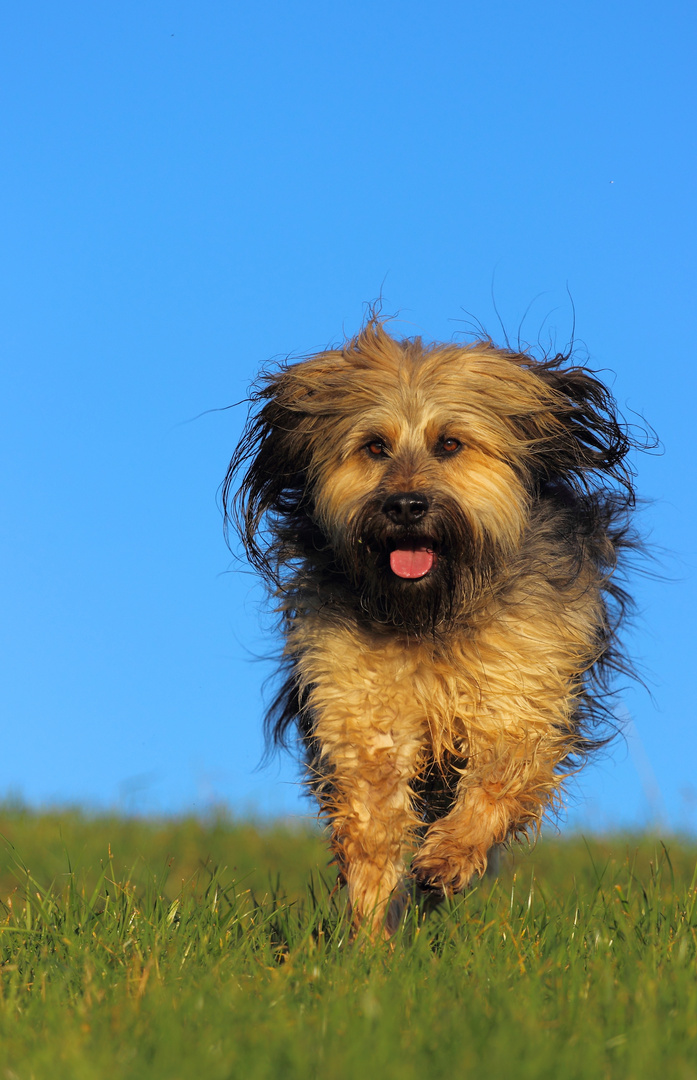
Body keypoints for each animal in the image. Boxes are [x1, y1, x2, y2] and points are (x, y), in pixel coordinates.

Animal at [221, 319, 635, 937]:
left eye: (449, 443)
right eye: (375, 446)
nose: (406, 506)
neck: (429, 615)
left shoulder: (521, 690)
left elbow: (498, 777)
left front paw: (448, 858)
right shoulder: (359, 704)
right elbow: (373, 819)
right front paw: (371, 931)